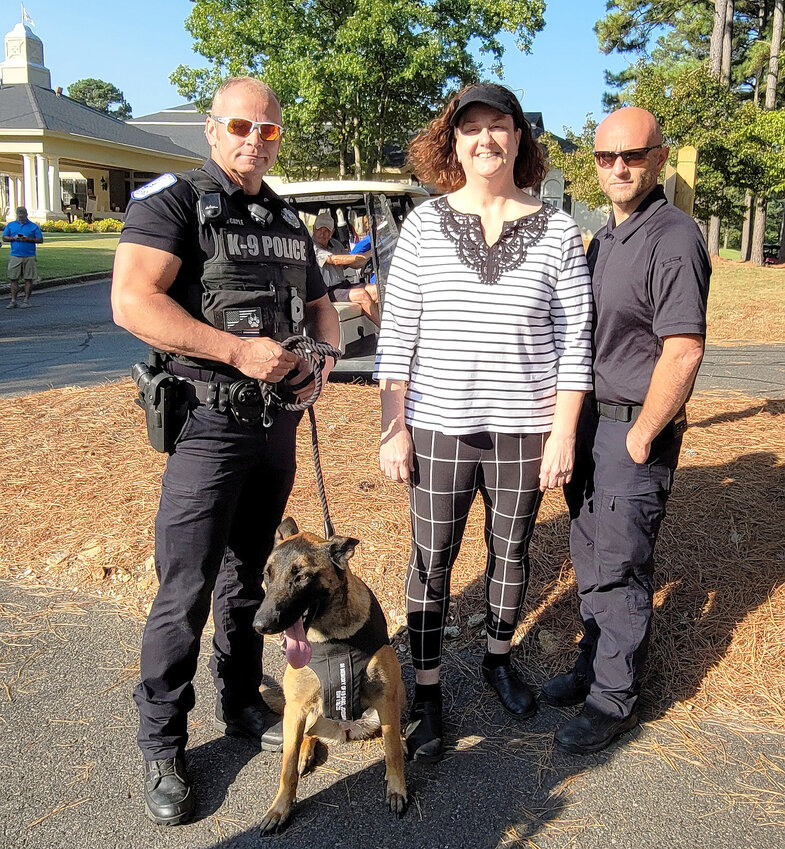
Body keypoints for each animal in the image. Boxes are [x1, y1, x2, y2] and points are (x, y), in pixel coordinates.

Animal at [254, 512, 408, 832]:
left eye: (301, 576)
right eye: (267, 574)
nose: (260, 625)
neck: (332, 637)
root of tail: (345, 729)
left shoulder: (385, 695)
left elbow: (391, 750)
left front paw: (397, 788)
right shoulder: (296, 706)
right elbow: (287, 770)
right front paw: (280, 808)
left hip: (396, 694)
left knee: (392, 732)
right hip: (302, 713)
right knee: (303, 738)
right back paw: (304, 751)